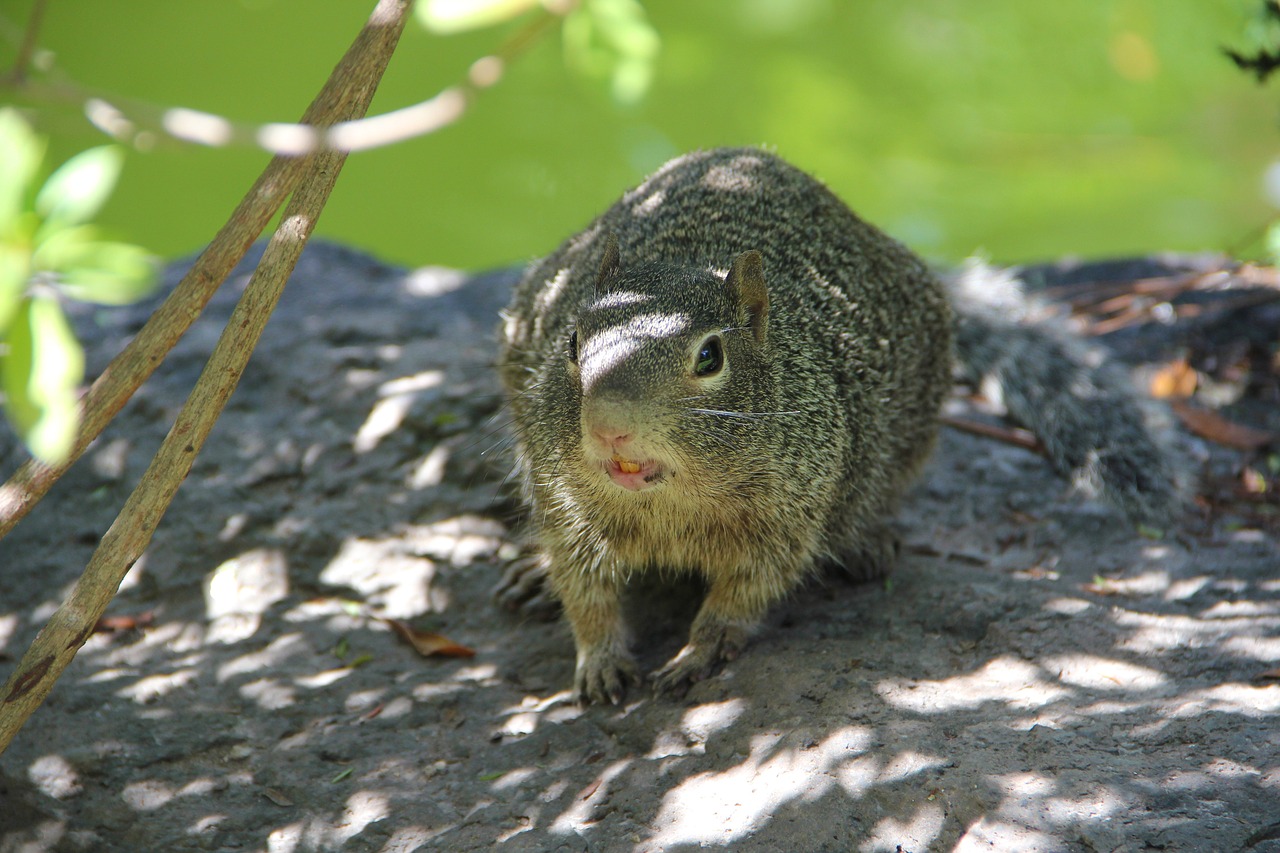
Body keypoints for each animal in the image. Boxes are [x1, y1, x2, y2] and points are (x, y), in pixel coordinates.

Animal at [494, 147, 1182, 701]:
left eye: (710, 356)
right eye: (573, 342)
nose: (608, 426)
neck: (668, 504)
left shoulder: (789, 517)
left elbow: (744, 593)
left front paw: (698, 651)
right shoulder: (562, 502)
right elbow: (584, 591)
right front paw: (599, 661)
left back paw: (867, 544)